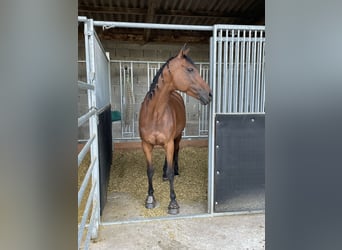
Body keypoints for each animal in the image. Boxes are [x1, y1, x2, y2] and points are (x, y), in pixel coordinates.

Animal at [138, 45, 211, 215]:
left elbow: (171, 171)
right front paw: (150, 198)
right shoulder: (146, 145)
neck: (155, 114)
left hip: (177, 137)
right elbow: (149, 171)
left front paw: (173, 203)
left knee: (176, 152)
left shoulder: (169, 143)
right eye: (190, 69)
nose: (209, 94)